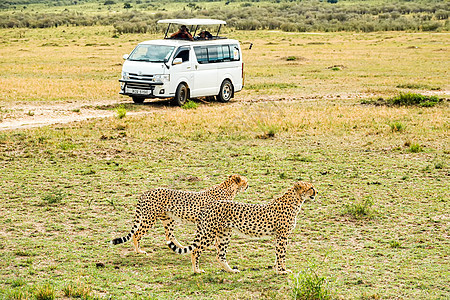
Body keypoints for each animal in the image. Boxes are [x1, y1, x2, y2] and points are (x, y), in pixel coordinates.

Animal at [110, 175, 248, 254]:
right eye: (245, 181)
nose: (248, 185)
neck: (228, 188)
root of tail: (147, 191)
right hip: (150, 219)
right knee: (137, 234)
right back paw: (139, 251)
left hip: (168, 219)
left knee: (169, 235)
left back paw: (180, 247)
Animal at [167, 180, 318, 274]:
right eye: (310, 188)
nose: (316, 192)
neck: (295, 201)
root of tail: (209, 205)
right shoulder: (283, 235)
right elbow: (281, 254)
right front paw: (282, 271)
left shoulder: (279, 236)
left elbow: (278, 255)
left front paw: (278, 268)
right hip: (209, 234)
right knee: (195, 250)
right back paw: (196, 270)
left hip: (224, 234)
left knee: (220, 255)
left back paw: (230, 270)